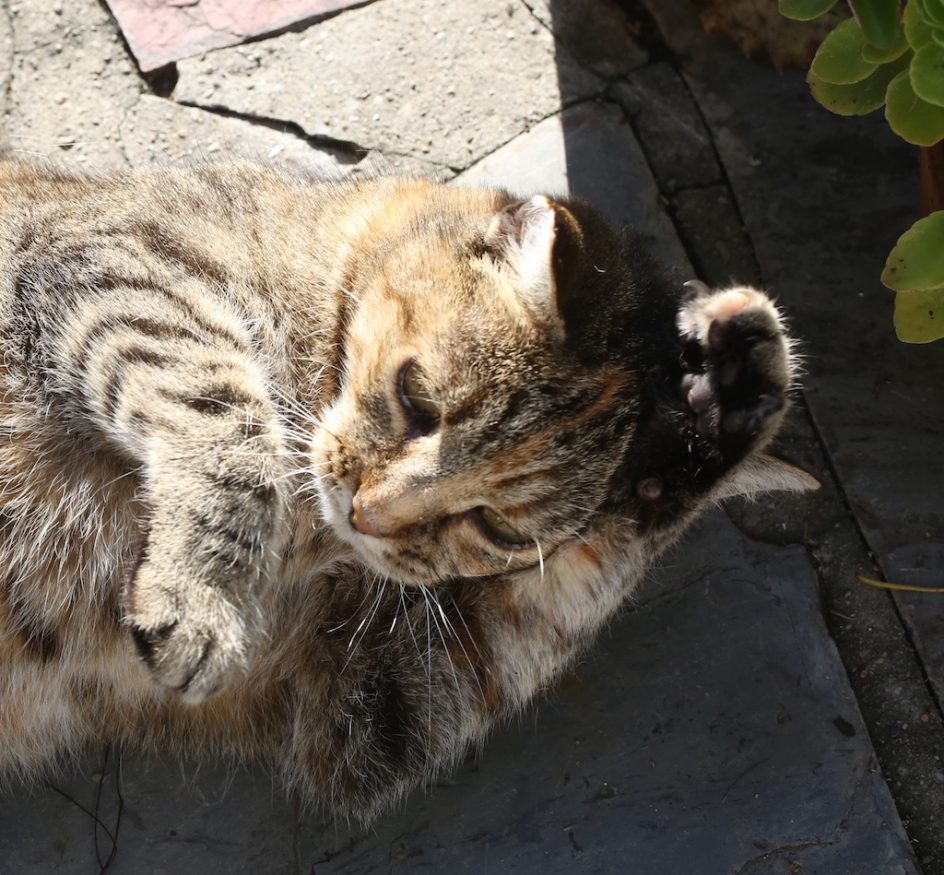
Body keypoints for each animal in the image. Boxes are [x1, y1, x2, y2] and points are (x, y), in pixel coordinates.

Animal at [0, 163, 812, 820]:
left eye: (503, 530)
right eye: (417, 396)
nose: (367, 514)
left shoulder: (366, 701)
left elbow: (551, 608)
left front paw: (731, 397)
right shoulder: (112, 260)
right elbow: (232, 429)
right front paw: (203, 598)